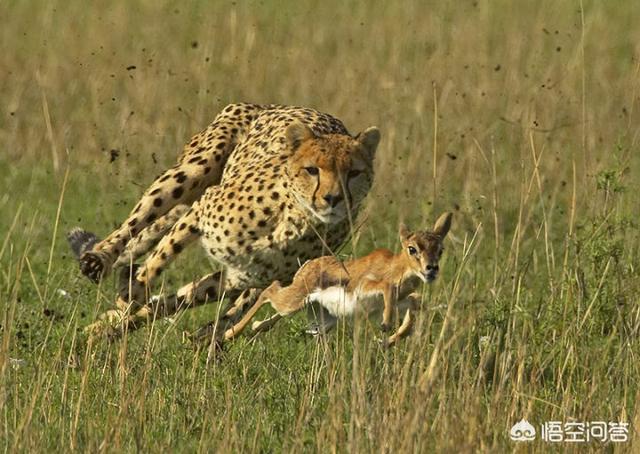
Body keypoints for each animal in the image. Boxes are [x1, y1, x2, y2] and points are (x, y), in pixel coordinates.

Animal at [69, 103, 380, 336]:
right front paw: (128, 298)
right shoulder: (200, 211)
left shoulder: (241, 276)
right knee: (135, 223)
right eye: (312, 170)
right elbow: (157, 264)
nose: (333, 198)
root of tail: (267, 105)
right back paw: (99, 260)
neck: (293, 219)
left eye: (353, 173)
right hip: (194, 169)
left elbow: (177, 300)